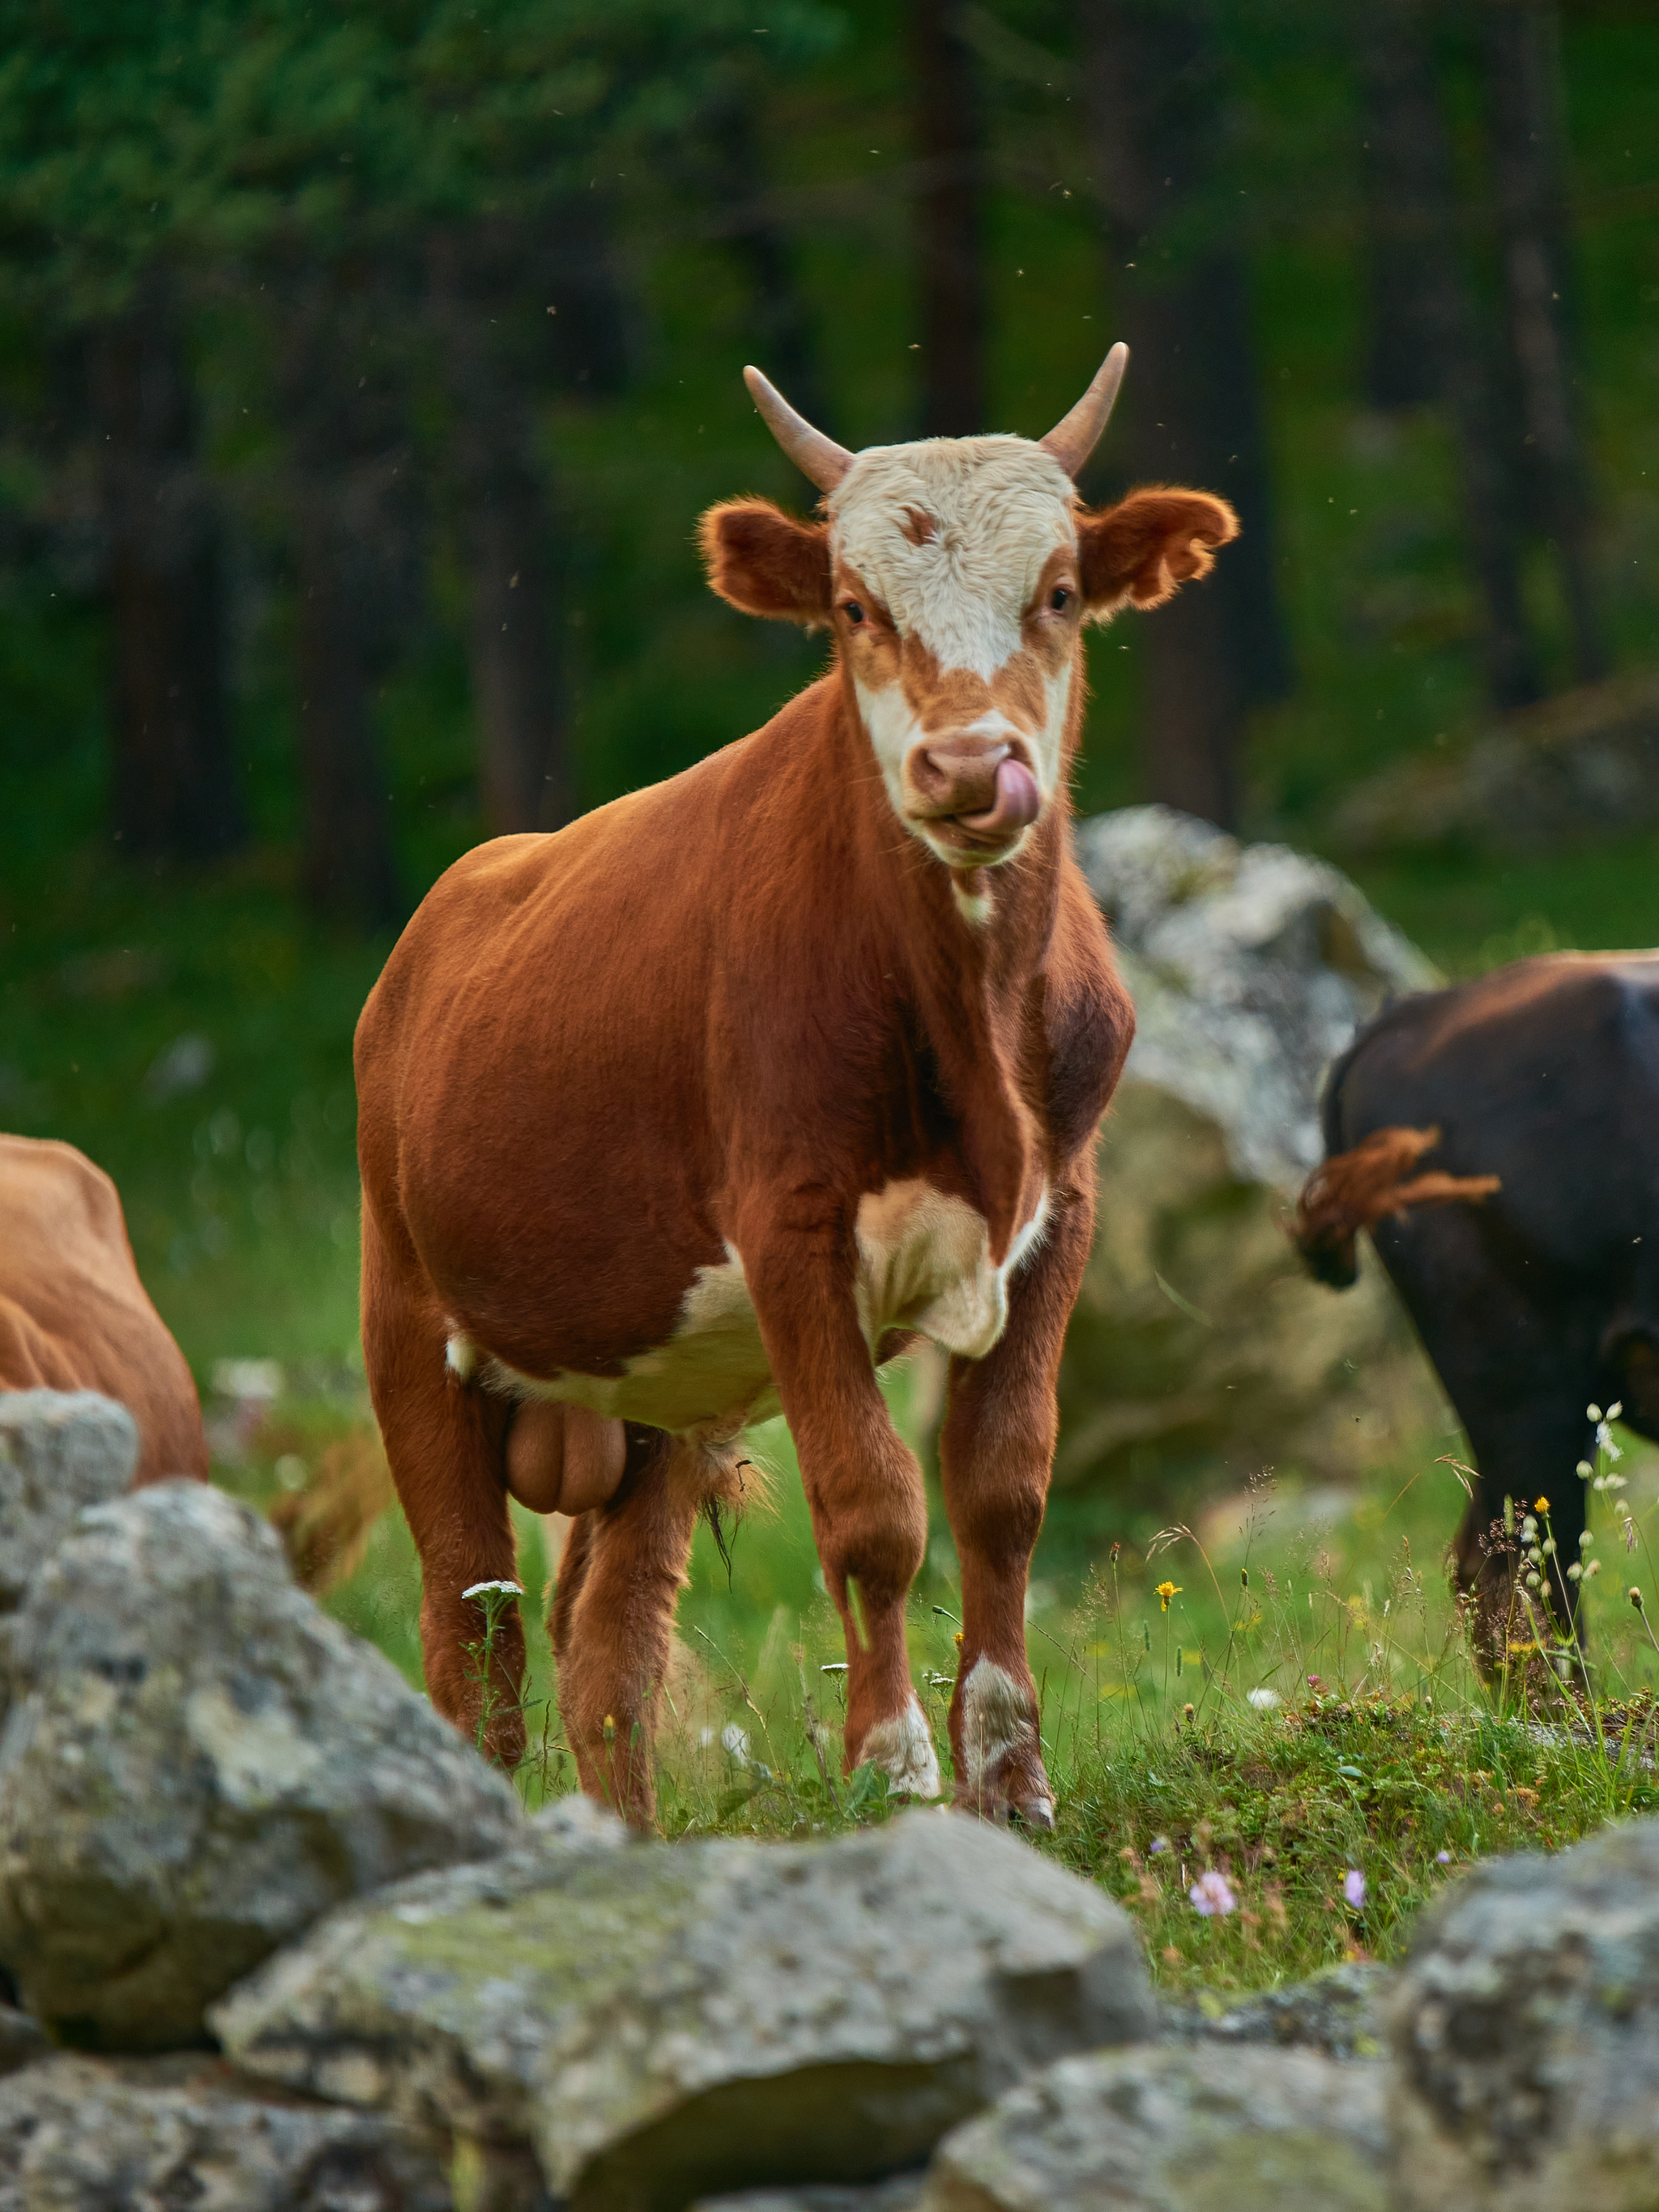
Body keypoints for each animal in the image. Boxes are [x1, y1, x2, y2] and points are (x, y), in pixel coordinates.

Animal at [353, 349, 1239, 1831]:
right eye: (853, 608)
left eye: (1059, 591)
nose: (967, 766)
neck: (967, 1026)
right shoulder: (790, 1226)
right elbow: (872, 1506)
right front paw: (894, 1766)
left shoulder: (1060, 1214)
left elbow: (1002, 1488)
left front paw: (1012, 1773)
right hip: (412, 1326)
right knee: (473, 1633)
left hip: (651, 1395)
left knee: (607, 1646)